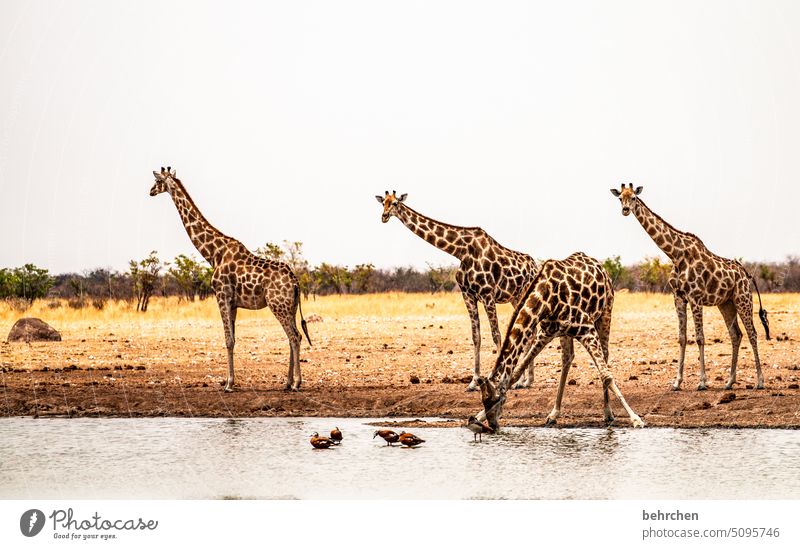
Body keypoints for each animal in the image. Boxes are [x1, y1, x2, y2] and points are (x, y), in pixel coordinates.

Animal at [150, 166, 312, 390]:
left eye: (157, 181)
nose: (150, 191)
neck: (213, 254)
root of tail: (295, 282)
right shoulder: (233, 302)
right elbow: (233, 339)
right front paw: (230, 381)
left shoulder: (222, 296)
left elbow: (228, 340)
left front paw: (228, 383)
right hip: (291, 306)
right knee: (292, 336)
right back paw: (287, 382)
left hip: (278, 305)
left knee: (294, 336)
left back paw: (296, 383)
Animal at [378, 192, 540, 390]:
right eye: (383, 203)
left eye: (395, 203)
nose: (384, 216)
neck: (461, 251)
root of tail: (535, 266)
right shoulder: (468, 295)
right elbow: (476, 336)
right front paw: (473, 381)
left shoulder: (487, 294)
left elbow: (496, 335)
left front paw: (496, 378)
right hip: (515, 298)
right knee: (529, 331)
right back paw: (524, 380)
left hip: (524, 294)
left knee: (529, 331)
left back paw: (525, 380)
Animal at [476, 250, 644, 430]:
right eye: (484, 401)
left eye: (494, 400)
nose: (493, 425)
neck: (546, 299)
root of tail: (601, 267)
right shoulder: (545, 333)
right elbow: (515, 372)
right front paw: (478, 416)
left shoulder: (586, 328)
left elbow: (606, 375)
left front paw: (635, 418)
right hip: (565, 332)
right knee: (567, 359)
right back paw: (554, 414)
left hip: (605, 313)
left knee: (604, 357)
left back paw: (607, 413)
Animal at [612, 183, 768, 390]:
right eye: (620, 197)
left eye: (634, 198)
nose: (625, 210)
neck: (676, 255)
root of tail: (746, 274)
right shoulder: (679, 297)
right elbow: (682, 337)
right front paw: (677, 382)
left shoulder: (696, 298)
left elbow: (700, 337)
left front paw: (702, 382)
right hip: (726, 303)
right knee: (736, 335)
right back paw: (729, 382)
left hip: (742, 299)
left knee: (752, 334)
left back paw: (760, 381)